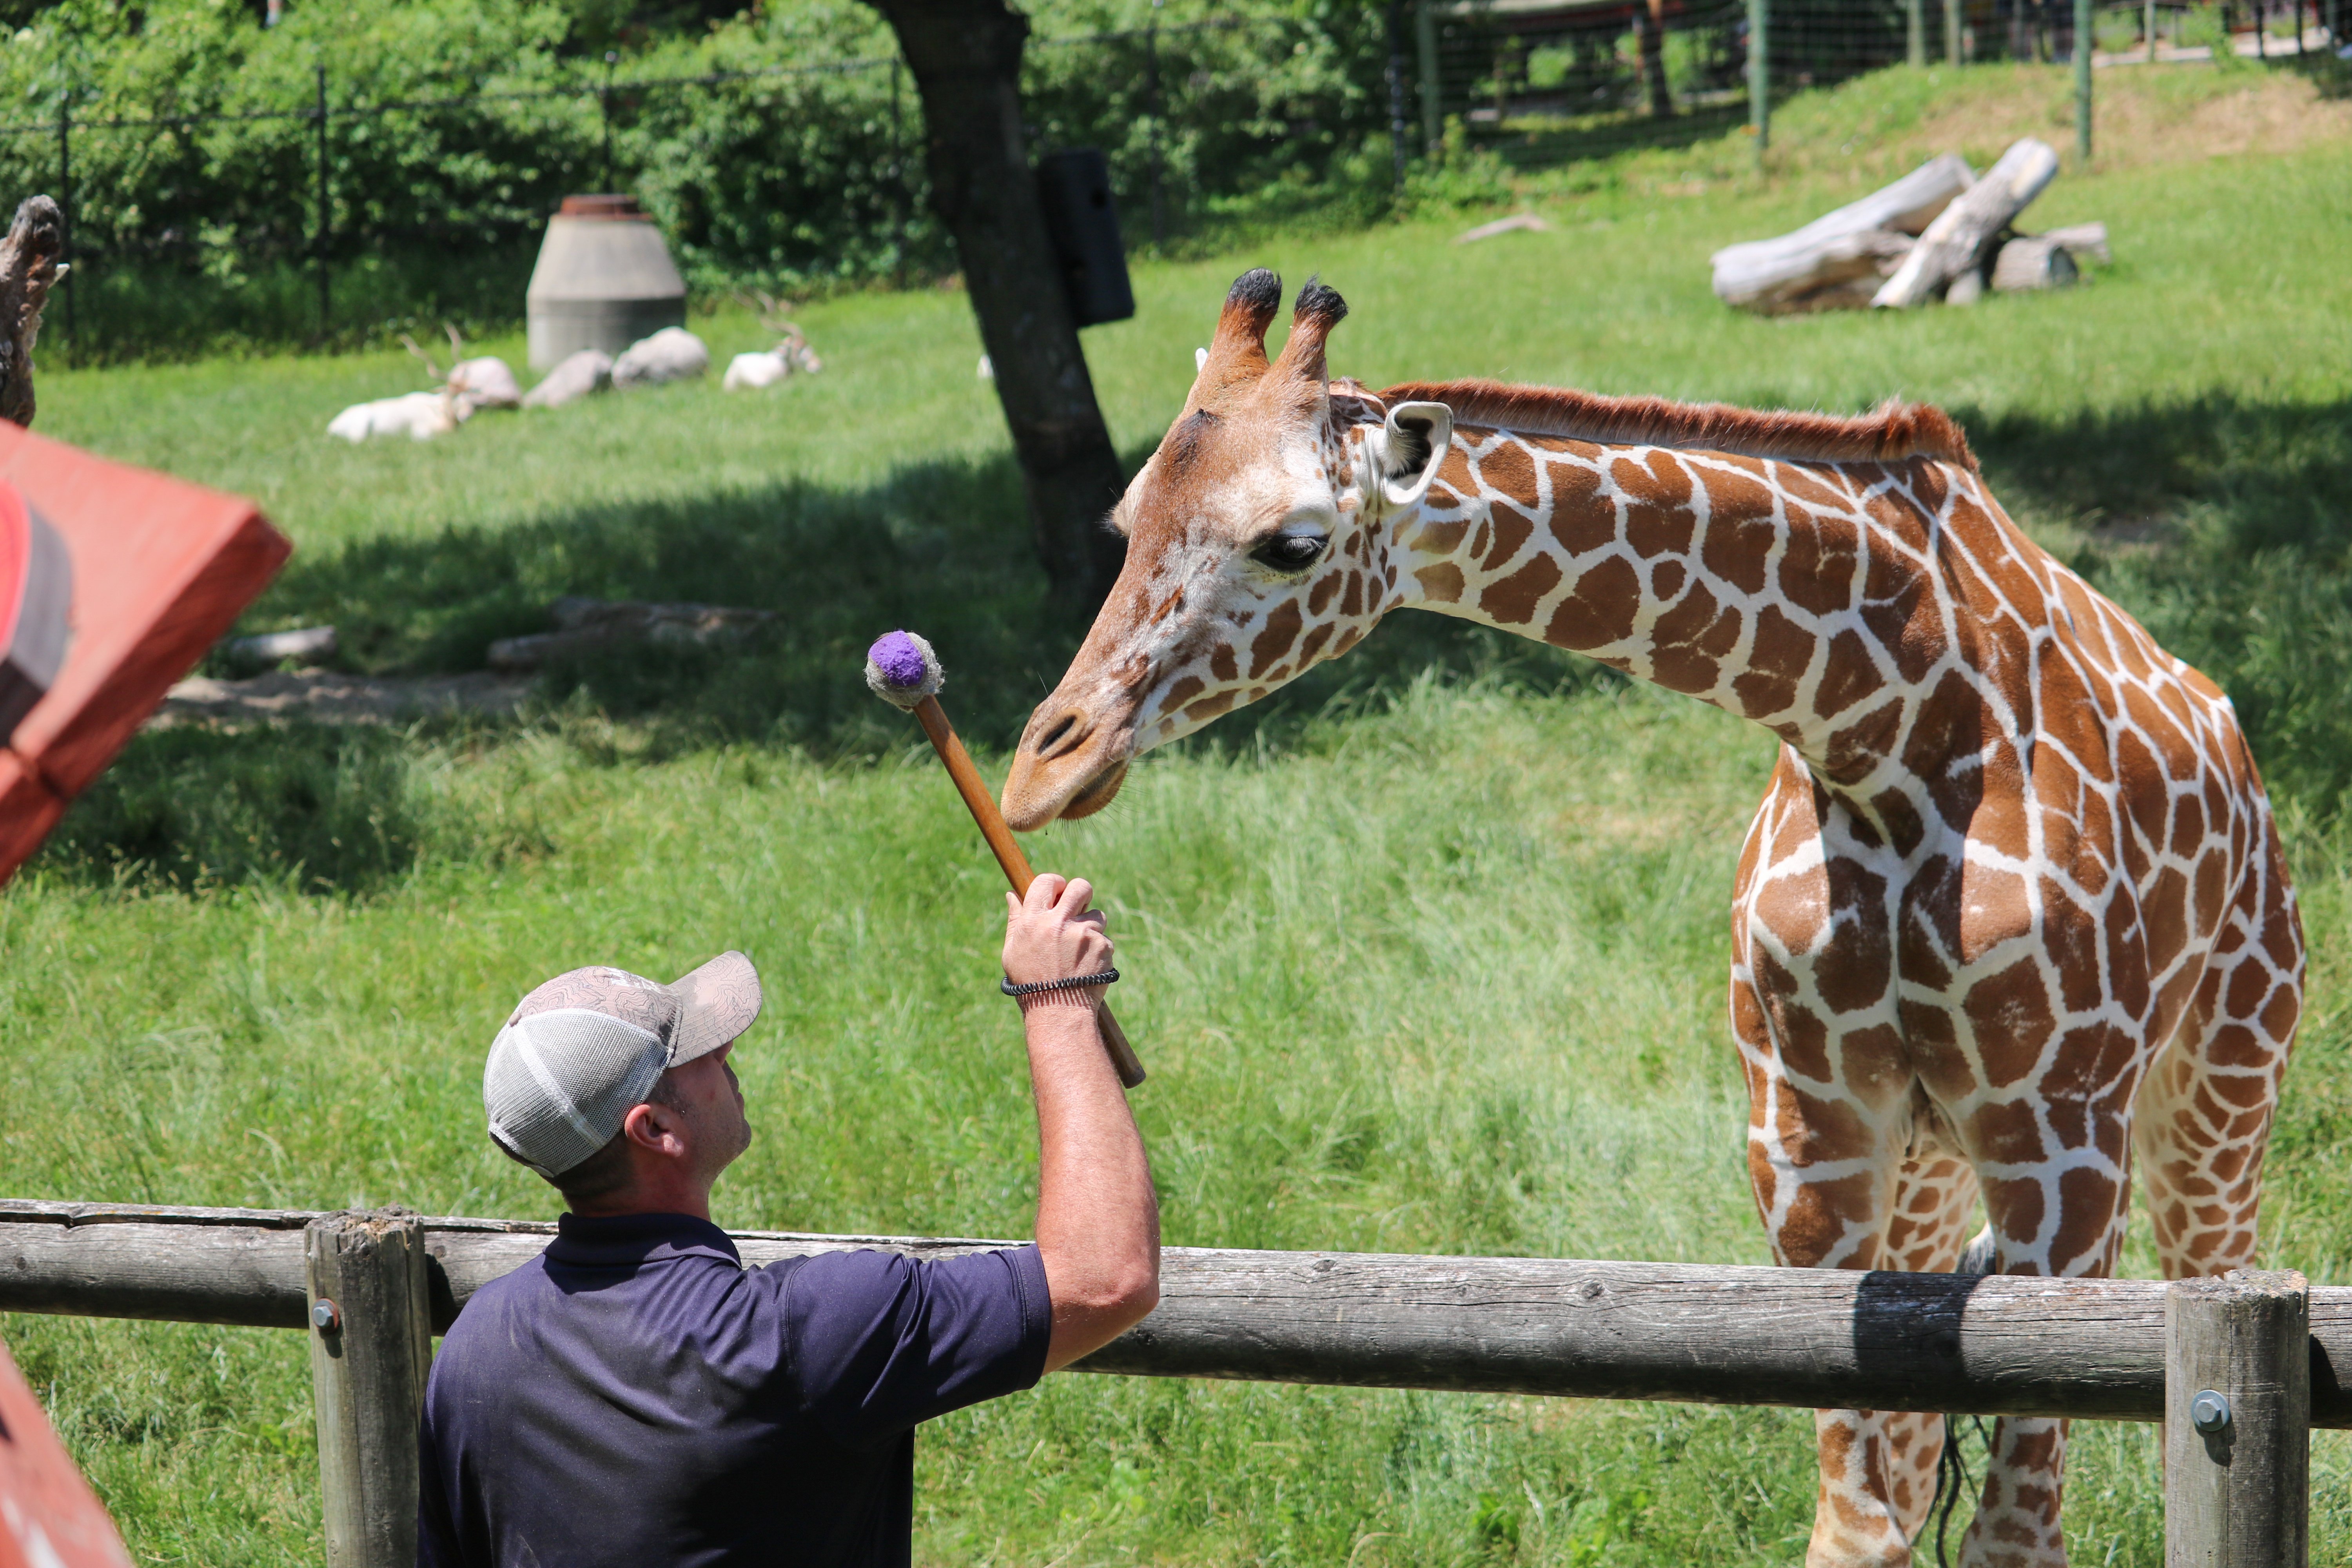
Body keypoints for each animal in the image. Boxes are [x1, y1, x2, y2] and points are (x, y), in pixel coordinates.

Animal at [997, 270, 2304, 1567]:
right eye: (1125, 520)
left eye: (1293, 542)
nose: (1039, 769)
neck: (1882, 720)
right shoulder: (1805, 1138)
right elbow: (1859, 1525)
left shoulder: (2062, 1138)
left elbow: (2013, 1532)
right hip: (1933, 1155)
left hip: (2218, 1084)